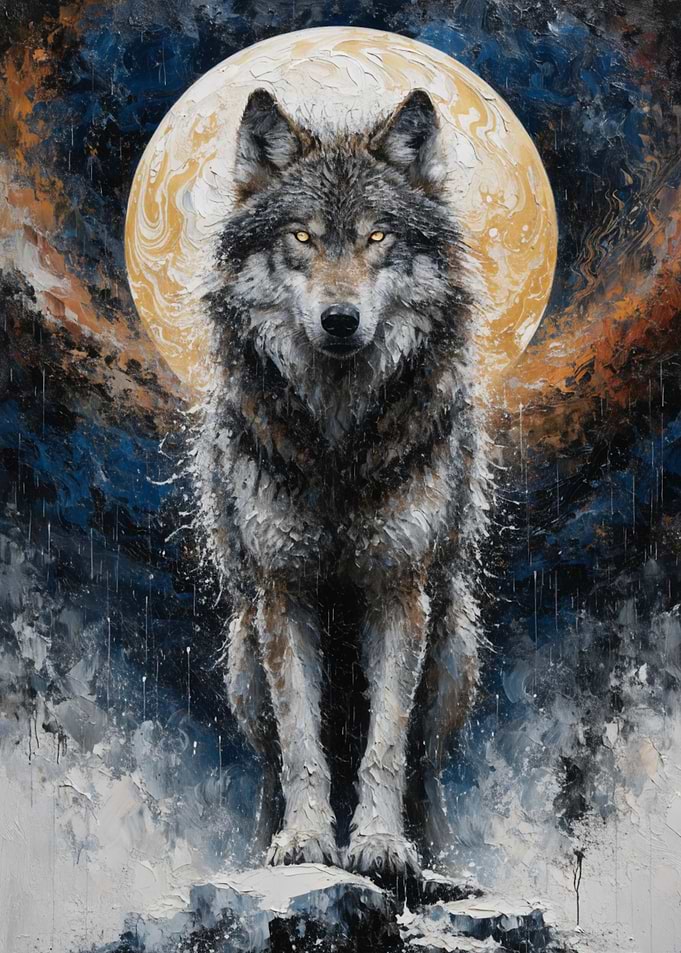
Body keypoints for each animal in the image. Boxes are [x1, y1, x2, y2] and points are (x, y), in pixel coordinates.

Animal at [192, 87, 491, 880]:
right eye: (301, 236)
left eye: (377, 237)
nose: (339, 319)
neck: (337, 445)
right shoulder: (281, 592)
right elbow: (302, 745)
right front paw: (303, 841)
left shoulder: (399, 589)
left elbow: (385, 745)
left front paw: (381, 845)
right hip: (241, 655)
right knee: (270, 762)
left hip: (454, 646)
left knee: (426, 766)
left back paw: (436, 851)